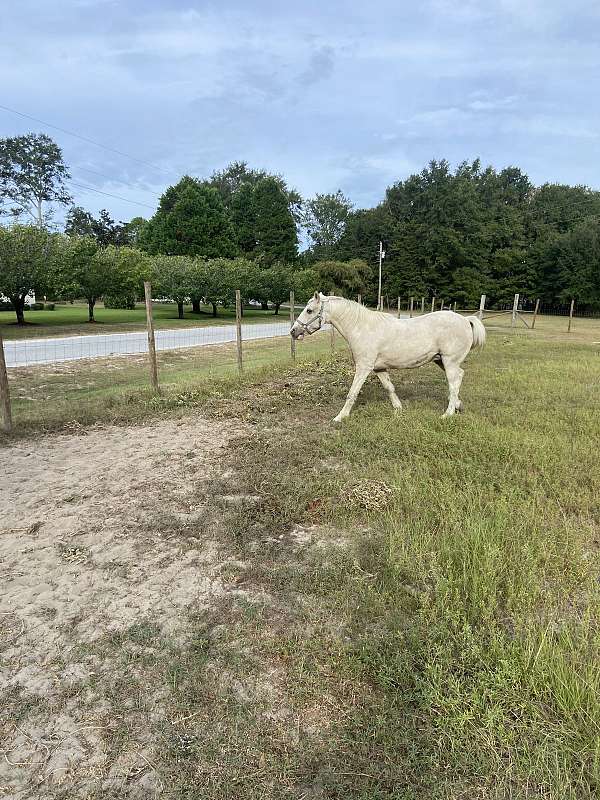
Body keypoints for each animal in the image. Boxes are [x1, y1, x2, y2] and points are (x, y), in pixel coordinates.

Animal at [292, 290, 488, 422]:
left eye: (309, 310)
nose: (294, 331)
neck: (361, 327)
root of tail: (466, 320)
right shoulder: (379, 368)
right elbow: (389, 388)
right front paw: (398, 409)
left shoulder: (363, 368)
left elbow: (352, 393)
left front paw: (340, 417)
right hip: (442, 361)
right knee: (457, 379)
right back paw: (458, 406)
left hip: (449, 361)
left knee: (454, 383)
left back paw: (447, 414)